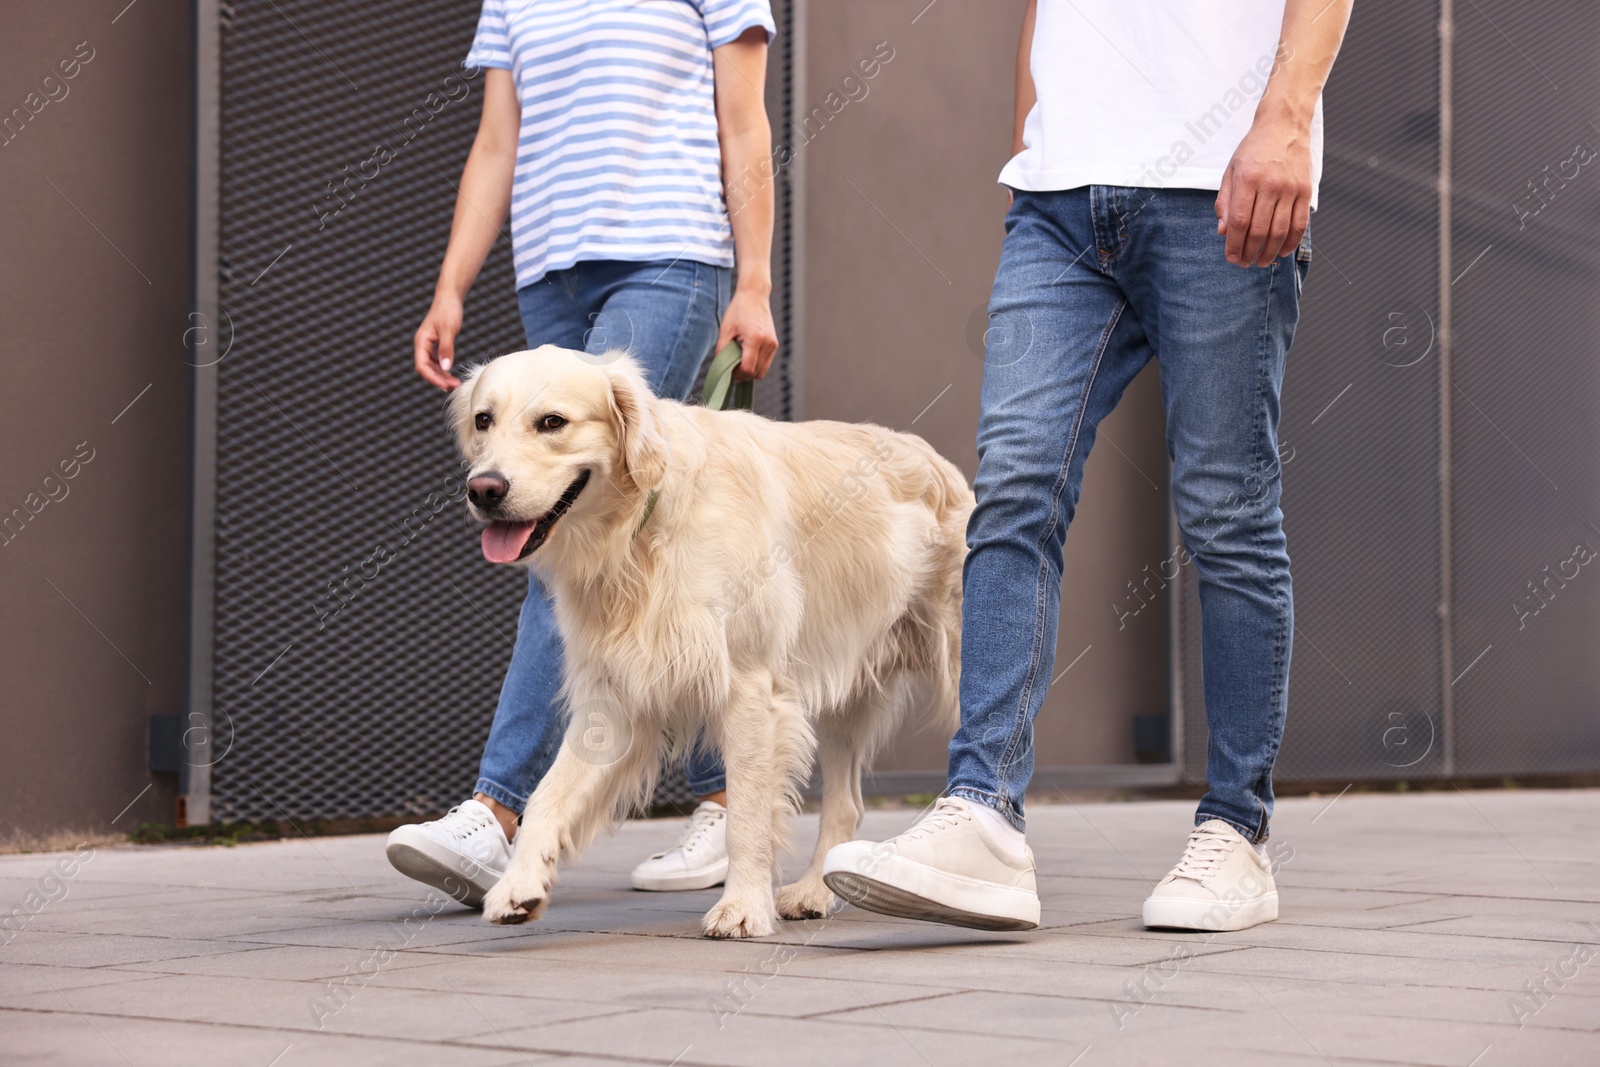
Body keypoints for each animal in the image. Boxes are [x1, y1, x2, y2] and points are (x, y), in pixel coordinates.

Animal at [454, 347, 972, 940]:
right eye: (483, 420)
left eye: (552, 422)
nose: (483, 489)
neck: (640, 532)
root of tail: (937, 461)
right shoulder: (614, 698)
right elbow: (547, 794)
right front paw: (519, 885)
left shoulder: (748, 688)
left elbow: (745, 811)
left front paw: (743, 905)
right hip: (845, 699)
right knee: (847, 806)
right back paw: (815, 890)